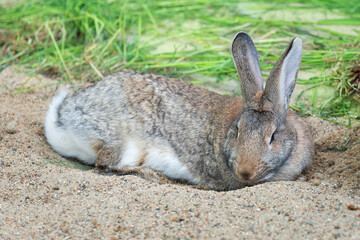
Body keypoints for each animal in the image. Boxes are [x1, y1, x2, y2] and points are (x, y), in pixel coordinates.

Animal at [45, 31, 314, 190]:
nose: (245, 172)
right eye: (237, 132)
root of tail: (62, 119)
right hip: (124, 140)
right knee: (106, 165)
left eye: (273, 137)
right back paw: (152, 175)